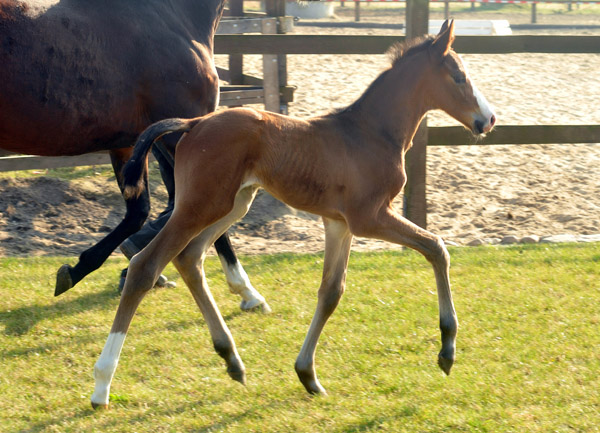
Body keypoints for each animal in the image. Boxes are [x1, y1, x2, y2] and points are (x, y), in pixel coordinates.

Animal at [0, 0, 268, 310]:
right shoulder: (186, 132)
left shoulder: (131, 144)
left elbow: (140, 212)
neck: (171, 16)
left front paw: (80, 269)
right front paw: (248, 292)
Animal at [90, 19, 496, 404]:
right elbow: (436, 247)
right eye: (459, 76)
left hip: (232, 204)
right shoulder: (369, 217)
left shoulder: (338, 223)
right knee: (146, 265)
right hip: (200, 205)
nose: (488, 119)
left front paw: (307, 375)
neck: (371, 133)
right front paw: (447, 349)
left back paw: (231, 358)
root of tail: (193, 123)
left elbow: (331, 292)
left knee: (189, 258)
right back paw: (102, 385)